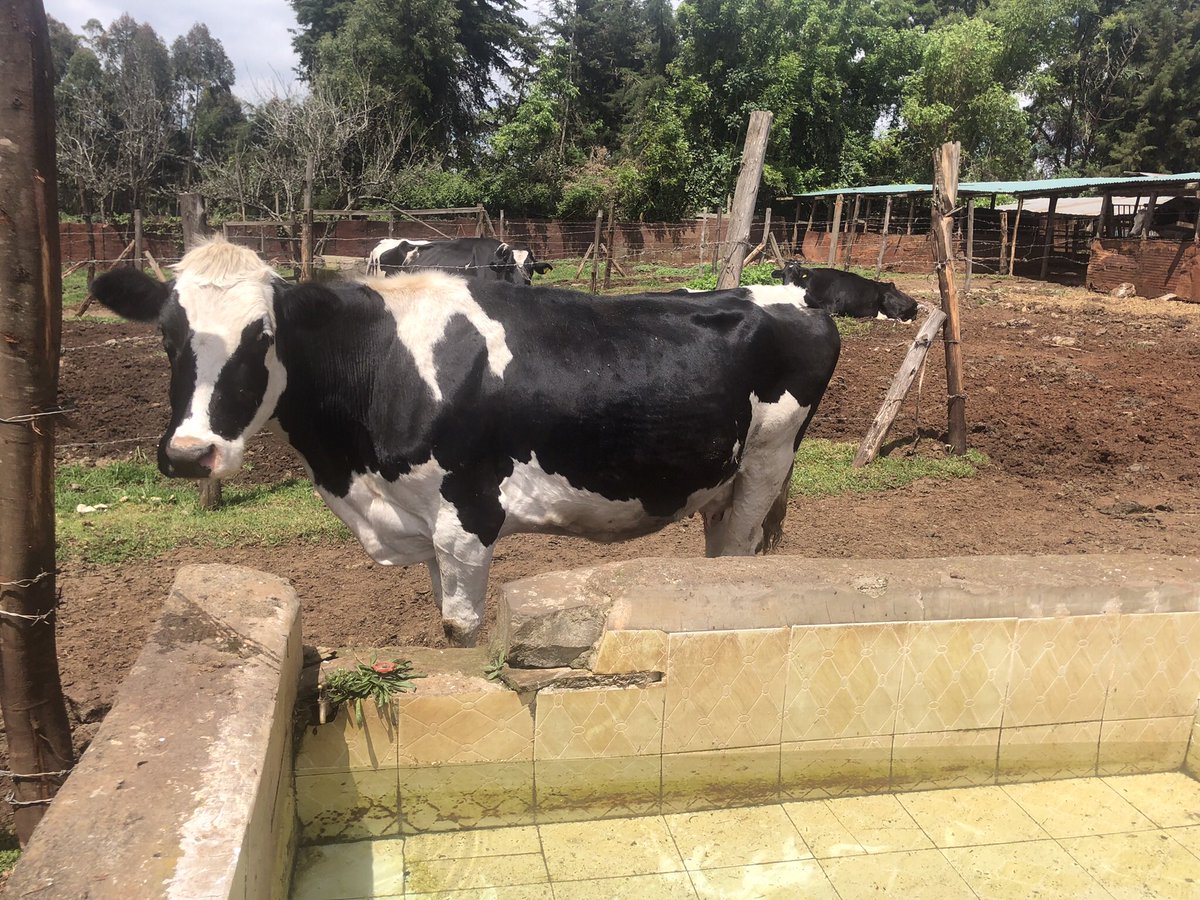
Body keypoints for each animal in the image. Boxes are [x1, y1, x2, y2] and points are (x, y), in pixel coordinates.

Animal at [773, 261, 919, 321]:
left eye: (797, 274)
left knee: (897, 318)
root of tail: (915, 303)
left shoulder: (831, 308)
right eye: (783, 275)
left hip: (887, 299)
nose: (786, 286)